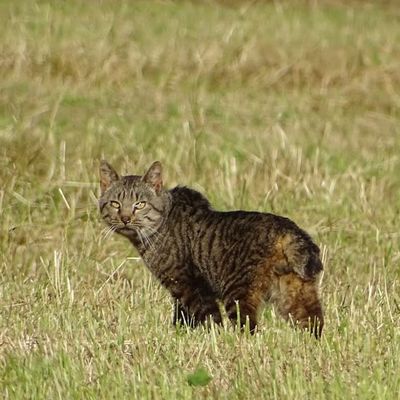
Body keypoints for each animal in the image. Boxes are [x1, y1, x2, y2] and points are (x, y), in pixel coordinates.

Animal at [98, 159, 324, 338]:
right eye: (115, 204)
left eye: (140, 204)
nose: (125, 218)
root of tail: (286, 229)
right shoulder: (181, 291)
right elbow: (182, 319)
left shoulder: (189, 284)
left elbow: (210, 320)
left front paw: (213, 339)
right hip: (294, 292)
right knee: (315, 321)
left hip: (238, 293)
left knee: (249, 328)